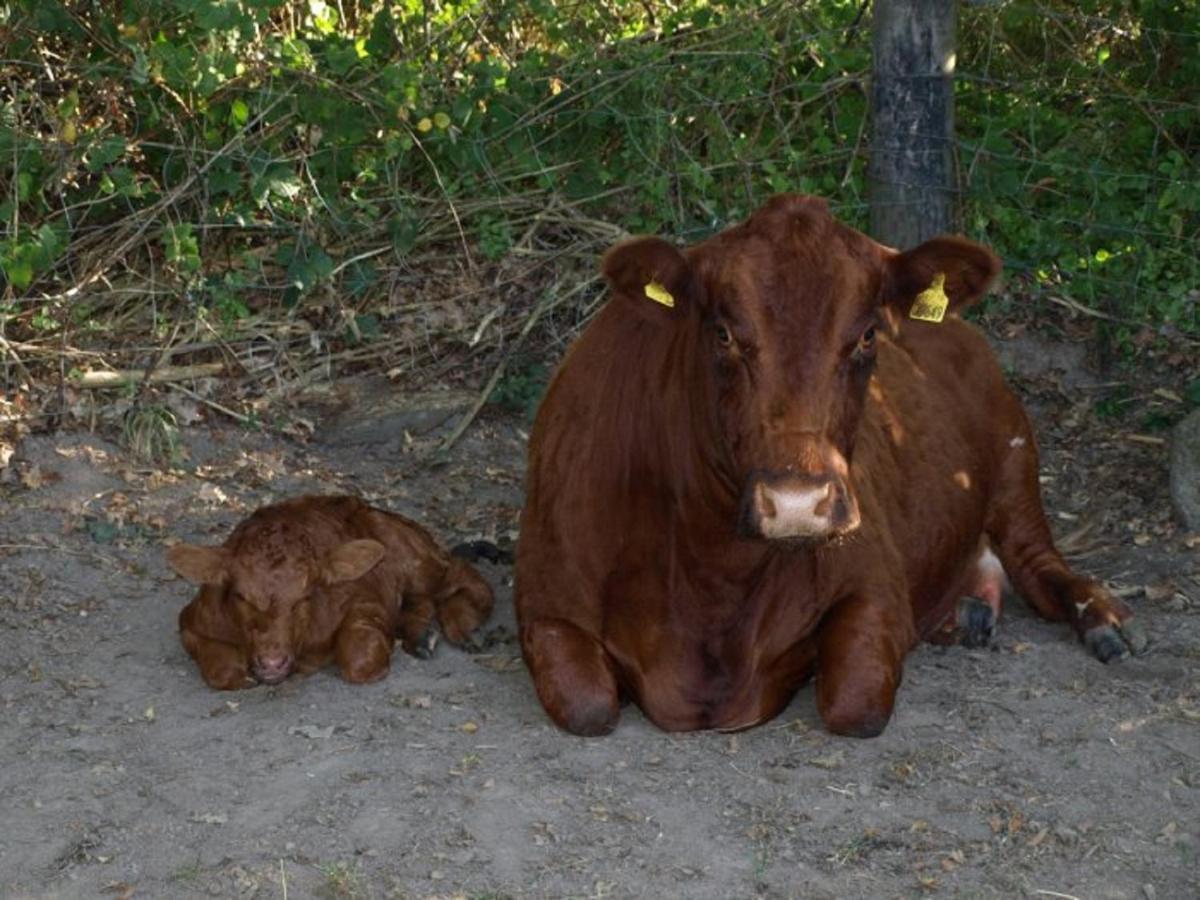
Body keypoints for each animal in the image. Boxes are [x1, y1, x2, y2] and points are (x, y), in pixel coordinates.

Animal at [168, 496, 492, 696]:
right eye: (240, 597)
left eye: (304, 598)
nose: (272, 663)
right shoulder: (192, 620)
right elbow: (222, 671)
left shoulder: (364, 599)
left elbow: (360, 659)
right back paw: (422, 635)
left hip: (414, 558)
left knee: (463, 575)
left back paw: (464, 627)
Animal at [513, 195, 1142, 739]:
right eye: (722, 333)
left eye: (866, 335)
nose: (797, 504)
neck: (710, 580)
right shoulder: (545, 602)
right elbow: (588, 704)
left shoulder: (874, 585)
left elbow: (854, 701)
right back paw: (965, 613)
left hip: (1016, 462)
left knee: (1040, 565)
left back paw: (1099, 618)